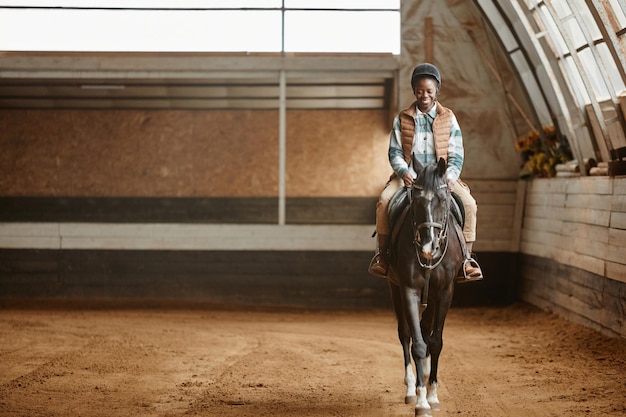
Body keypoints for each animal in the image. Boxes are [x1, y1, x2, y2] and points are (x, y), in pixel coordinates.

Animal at [386, 155, 464, 412]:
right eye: (416, 201)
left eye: (443, 200)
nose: (429, 247)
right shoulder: (408, 289)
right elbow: (417, 343)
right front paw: (421, 400)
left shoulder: (445, 292)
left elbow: (436, 341)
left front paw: (433, 395)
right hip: (395, 289)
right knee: (406, 333)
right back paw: (411, 387)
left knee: (427, 328)